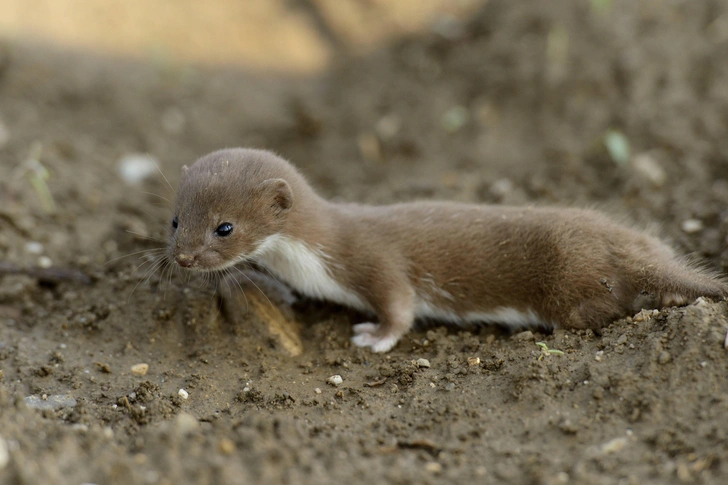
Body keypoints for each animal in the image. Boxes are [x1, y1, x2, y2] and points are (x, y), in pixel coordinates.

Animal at [166, 147, 728, 352]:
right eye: (175, 220)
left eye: (224, 227)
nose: (183, 257)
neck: (309, 261)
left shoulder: (374, 259)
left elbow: (399, 304)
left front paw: (373, 336)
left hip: (573, 285)